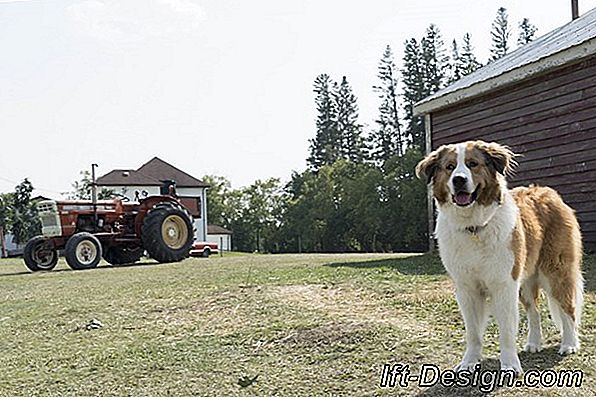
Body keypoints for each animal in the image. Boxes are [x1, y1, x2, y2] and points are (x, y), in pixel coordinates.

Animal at [416, 141, 584, 372]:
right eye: (449, 167)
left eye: (472, 164)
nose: (459, 180)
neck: (474, 227)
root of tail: (549, 192)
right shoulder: (467, 289)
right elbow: (473, 332)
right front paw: (469, 362)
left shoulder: (504, 285)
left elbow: (506, 330)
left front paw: (510, 364)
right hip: (525, 281)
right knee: (534, 311)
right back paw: (534, 344)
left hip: (556, 272)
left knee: (568, 309)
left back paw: (569, 344)